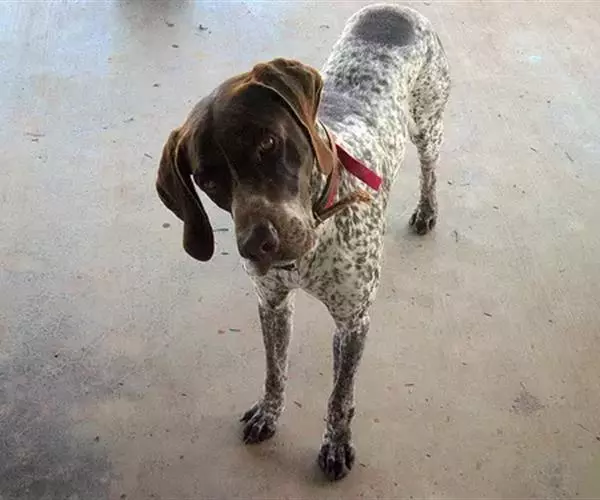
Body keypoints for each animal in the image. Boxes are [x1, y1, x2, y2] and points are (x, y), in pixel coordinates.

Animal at [156, 4, 450, 480]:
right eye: (207, 179)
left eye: (268, 143)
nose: (258, 244)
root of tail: (393, 9)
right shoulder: (272, 304)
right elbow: (275, 371)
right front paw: (268, 413)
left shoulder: (353, 322)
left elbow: (340, 398)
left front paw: (335, 445)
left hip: (427, 124)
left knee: (429, 167)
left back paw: (427, 209)